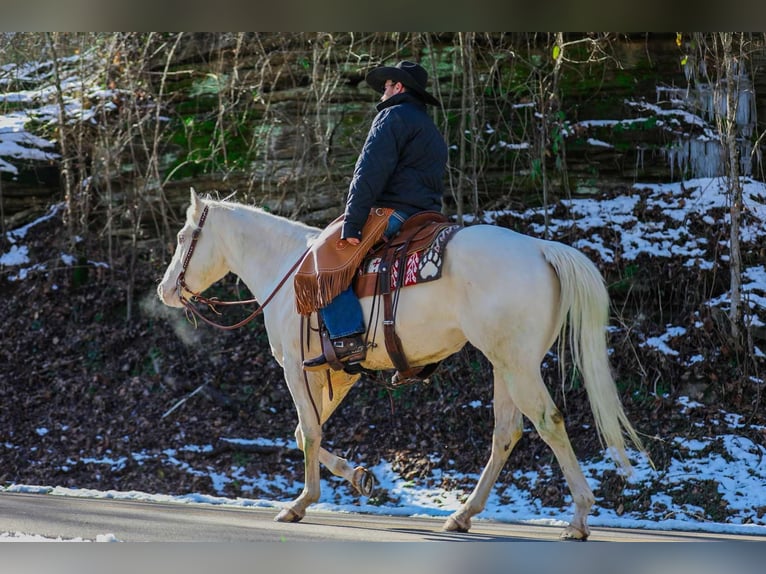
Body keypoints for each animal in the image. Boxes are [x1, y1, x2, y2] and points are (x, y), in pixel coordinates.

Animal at [157, 188, 644, 540]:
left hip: (517, 367)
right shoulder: (334, 374)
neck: (286, 268)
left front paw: (300, 503)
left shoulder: (296, 367)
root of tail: (540, 249)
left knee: (548, 422)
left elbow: (309, 432)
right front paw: (359, 478)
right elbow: (303, 432)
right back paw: (462, 515)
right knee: (507, 433)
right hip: (505, 365)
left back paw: (578, 518)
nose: (165, 290)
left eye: (182, 238)